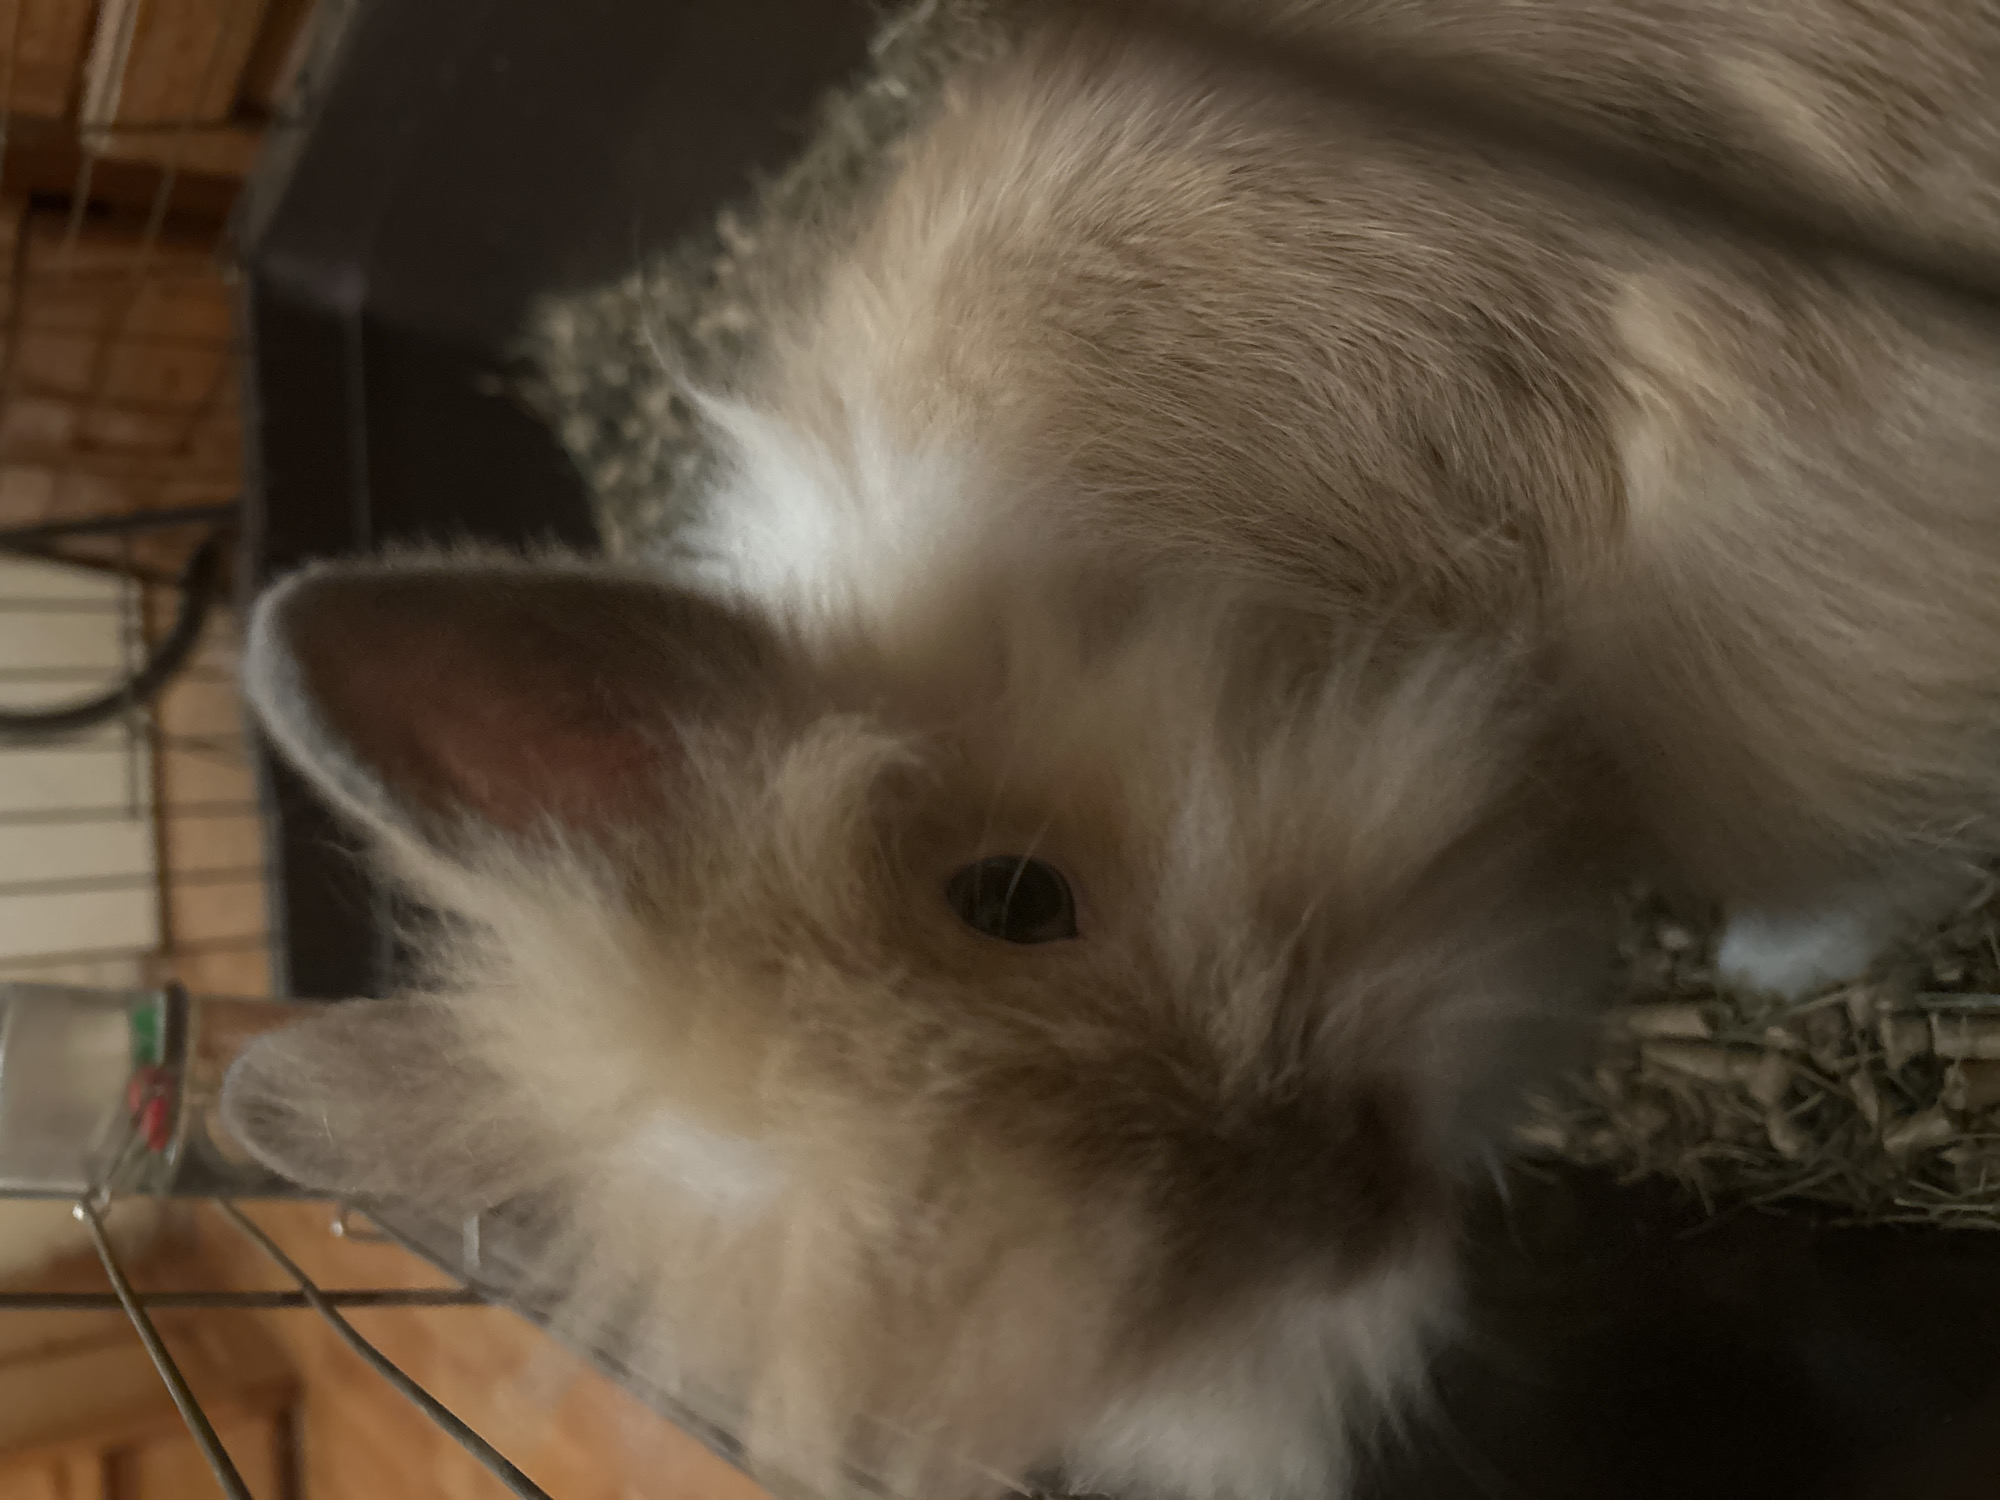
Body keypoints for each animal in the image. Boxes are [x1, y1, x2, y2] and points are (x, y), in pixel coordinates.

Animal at [224, 4, 2000, 1498]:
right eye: (917, 1261)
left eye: (1014, 896)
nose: (1356, 1213)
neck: (1102, 607)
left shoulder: (1768, 642)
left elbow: (1838, 856)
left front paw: (1778, 962)